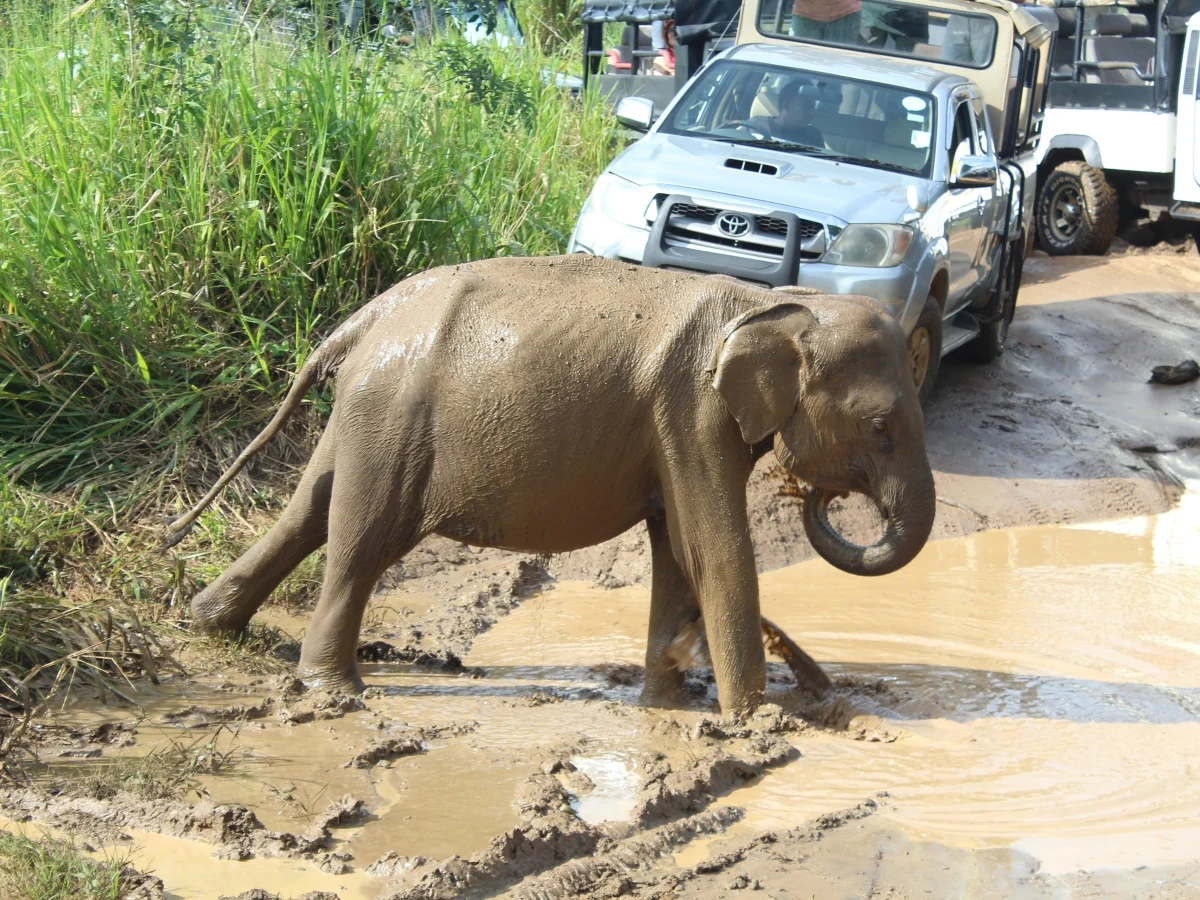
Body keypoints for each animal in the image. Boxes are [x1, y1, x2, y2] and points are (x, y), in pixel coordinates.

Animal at [166, 255, 936, 715]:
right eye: (880, 427)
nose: (820, 495)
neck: (771, 302)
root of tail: (364, 320)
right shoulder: (688, 411)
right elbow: (712, 549)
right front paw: (755, 722)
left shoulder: (678, 427)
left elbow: (678, 550)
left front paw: (667, 708)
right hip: (392, 417)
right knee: (361, 543)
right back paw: (337, 693)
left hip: (365, 412)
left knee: (308, 512)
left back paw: (210, 624)